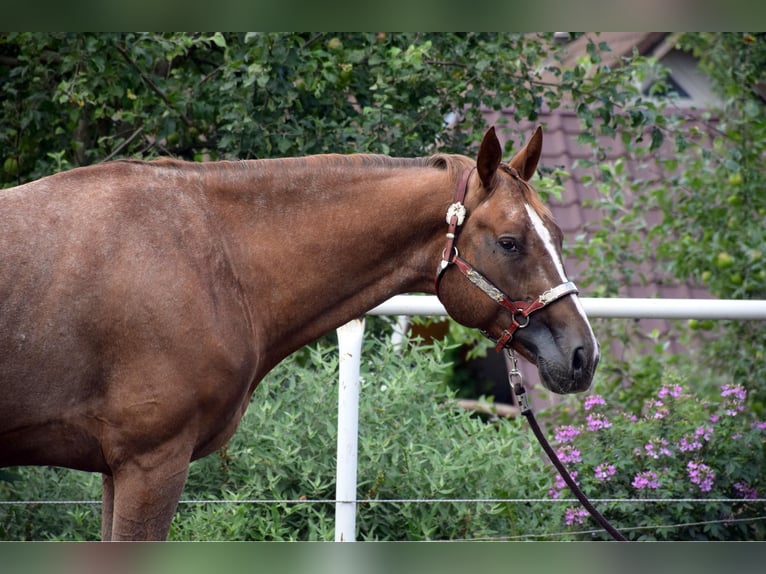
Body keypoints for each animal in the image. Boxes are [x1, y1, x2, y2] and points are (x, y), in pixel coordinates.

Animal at [0, 128, 600, 544]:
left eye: (557, 234)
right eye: (509, 242)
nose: (582, 355)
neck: (207, 256)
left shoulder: (117, 469)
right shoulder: (150, 464)